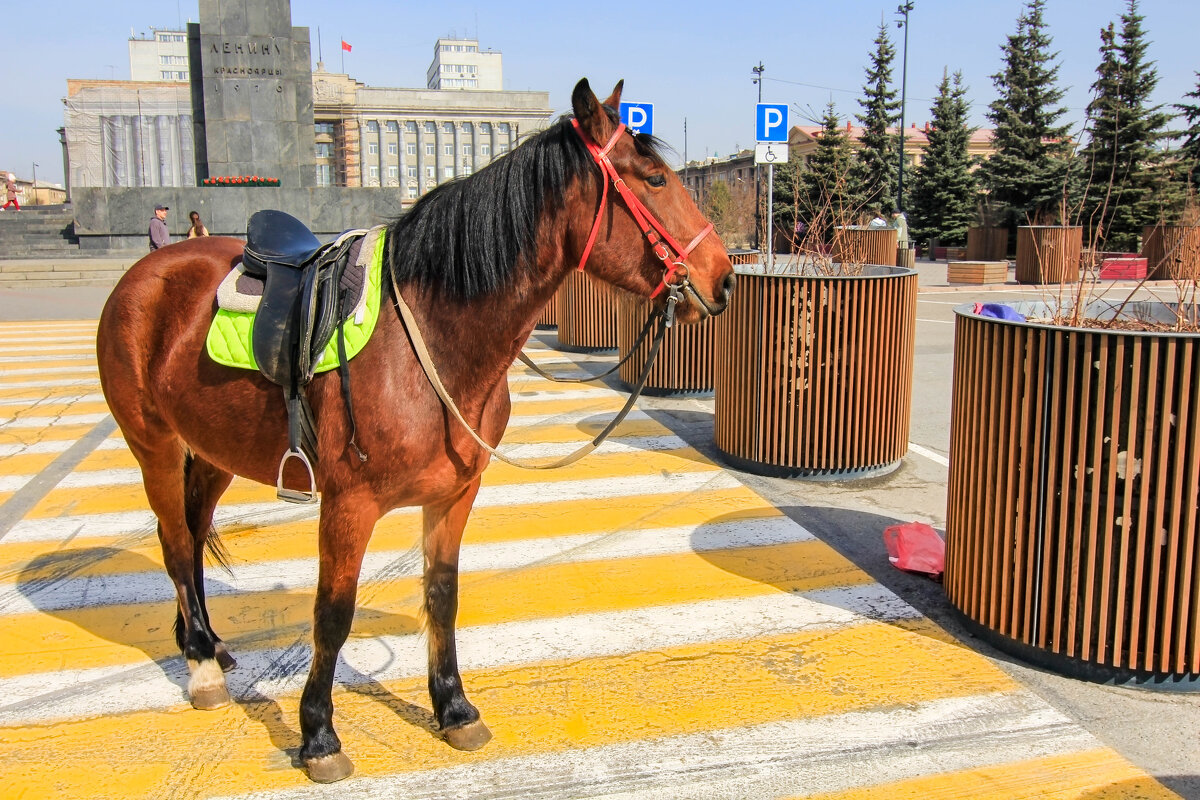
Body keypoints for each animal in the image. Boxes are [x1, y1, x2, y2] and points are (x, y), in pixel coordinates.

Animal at [96, 79, 729, 782]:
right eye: (653, 179)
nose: (724, 277)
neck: (429, 338)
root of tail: (145, 272)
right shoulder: (348, 506)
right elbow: (333, 615)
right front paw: (319, 734)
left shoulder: (454, 496)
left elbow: (442, 595)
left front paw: (452, 706)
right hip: (154, 444)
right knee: (178, 545)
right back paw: (204, 667)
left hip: (211, 452)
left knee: (189, 529)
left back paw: (203, 640)